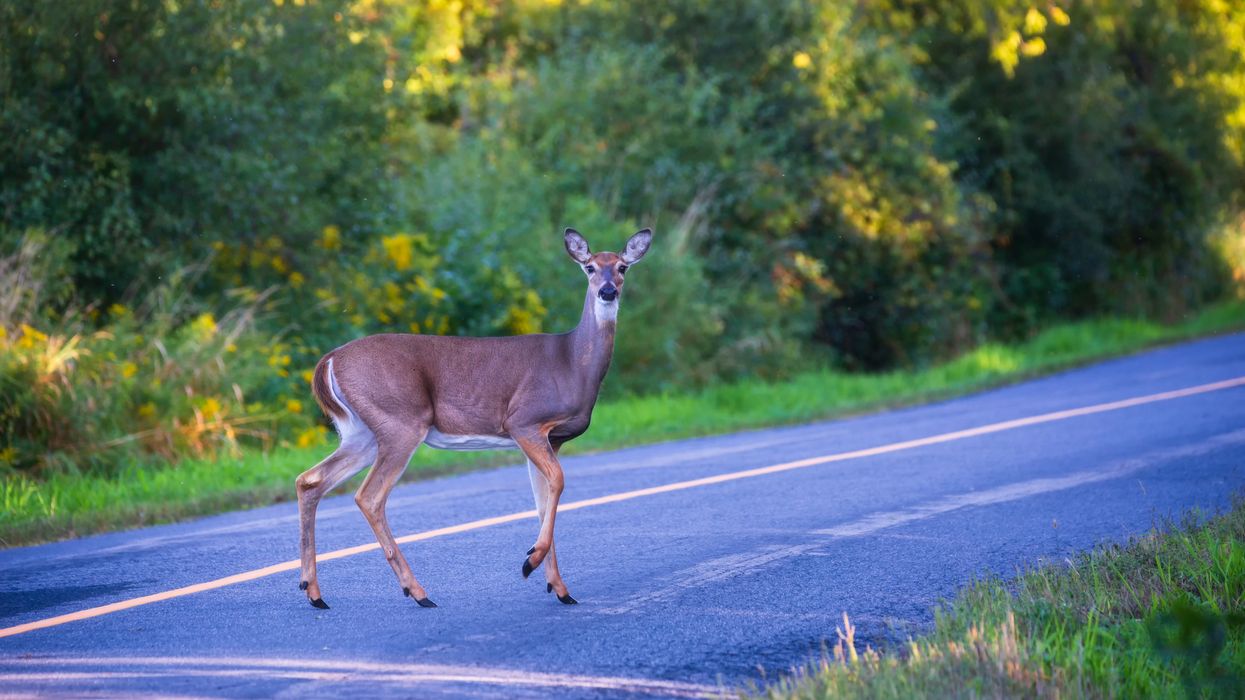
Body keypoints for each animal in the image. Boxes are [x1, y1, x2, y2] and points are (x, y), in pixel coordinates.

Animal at [295, 228, 653, 609]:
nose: (607, 290)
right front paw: (531, 562)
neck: (573, 363)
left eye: (622, 267)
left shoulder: (550, 438)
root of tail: (329, 360)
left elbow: (543, 502)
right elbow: (557, 482)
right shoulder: (524, 421)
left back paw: (314, 592)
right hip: (400, 422)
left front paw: (559, 587)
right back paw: (418, 592)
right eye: (589, 267)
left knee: (310, 480)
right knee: (369, 496)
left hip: (360, 432)